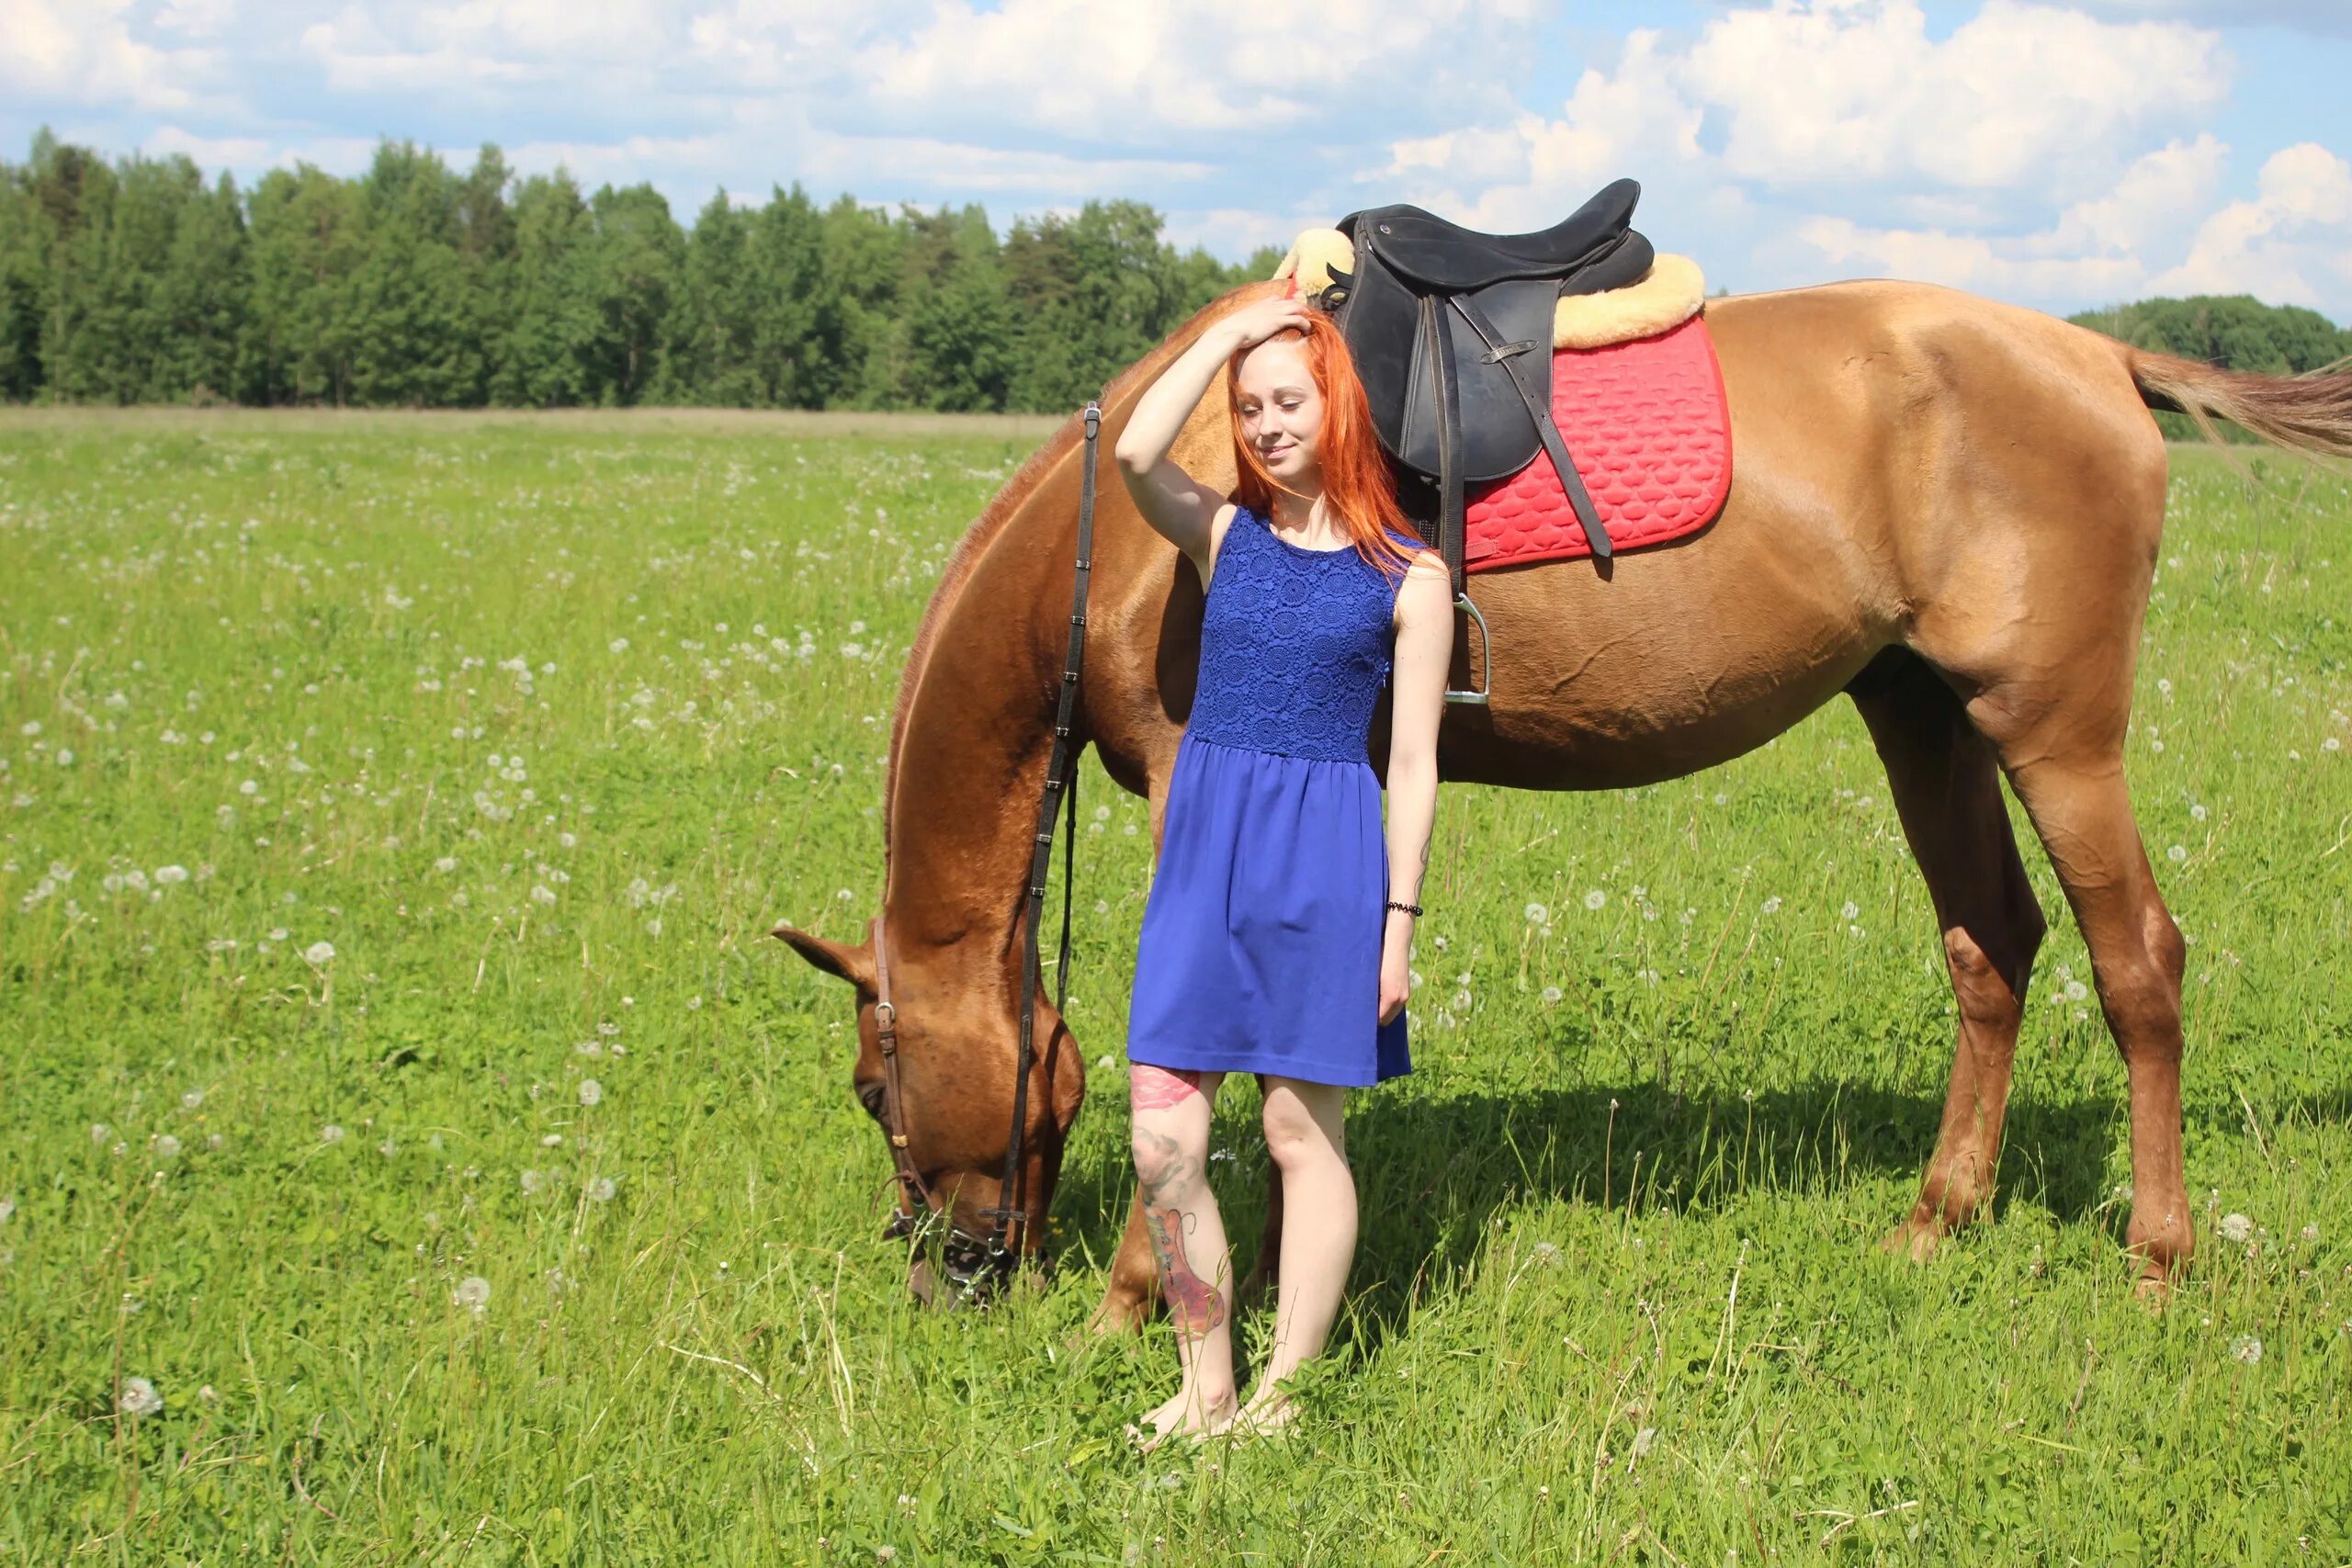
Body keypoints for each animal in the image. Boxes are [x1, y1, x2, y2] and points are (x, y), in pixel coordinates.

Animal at [775, 272, 2352, 1325]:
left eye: (871, 1088)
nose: (949, 1279)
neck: (1133, 527)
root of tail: (2101, 353)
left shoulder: (1189, 774)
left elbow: (1194, 1037)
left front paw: (1142, 1298)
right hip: (1924, 713)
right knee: (1992, 947)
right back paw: (1934, 1219)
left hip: (2055, 728)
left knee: (2138, 962)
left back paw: (2158, 1252)